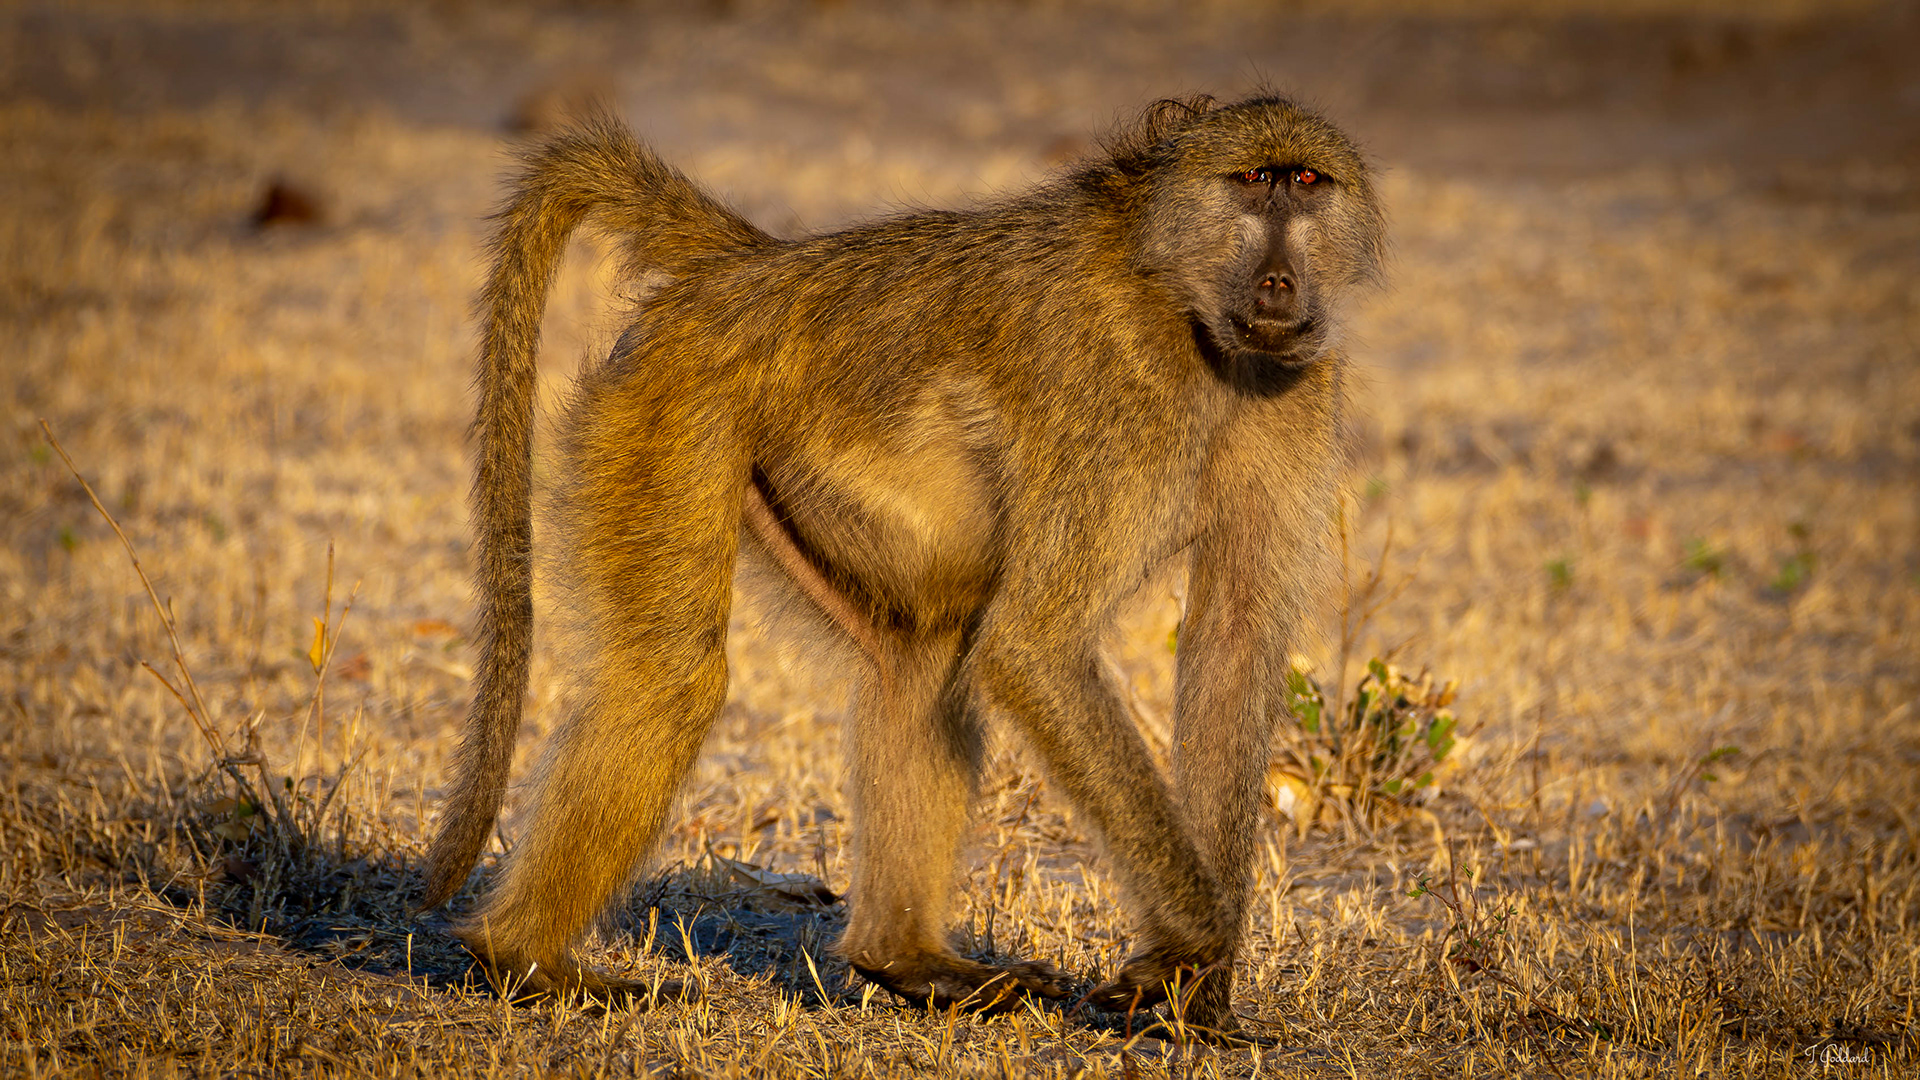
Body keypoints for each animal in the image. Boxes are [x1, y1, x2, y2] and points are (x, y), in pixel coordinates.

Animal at [421, 94, 1387, 1037]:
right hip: (668, 407)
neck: (1189, 307)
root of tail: (753, 270)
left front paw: (1203, 1000)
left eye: (1307, 184)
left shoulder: (1298, 389)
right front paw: (1194, 940)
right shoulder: (1113, 393)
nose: (1279, 283)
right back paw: (526, 959)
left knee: (922, 659)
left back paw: (909, 962)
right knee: (673, 678)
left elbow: (1231, 646)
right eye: (1251, 183)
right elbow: (1035, 647)